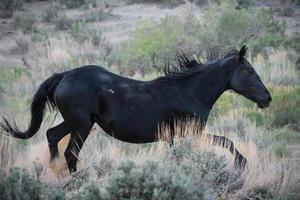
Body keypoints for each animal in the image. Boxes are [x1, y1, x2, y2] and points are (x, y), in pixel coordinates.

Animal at [0, 45, 272, 173]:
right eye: (249, 70)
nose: (267, 98)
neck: (189, 92)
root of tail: (64, 76)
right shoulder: (191, 133)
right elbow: (227, 141)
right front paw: (241, 163)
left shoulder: (175, 137)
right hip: (82, 126)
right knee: (70, 153)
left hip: (75, 123)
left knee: (52, 135)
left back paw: (54, 171)